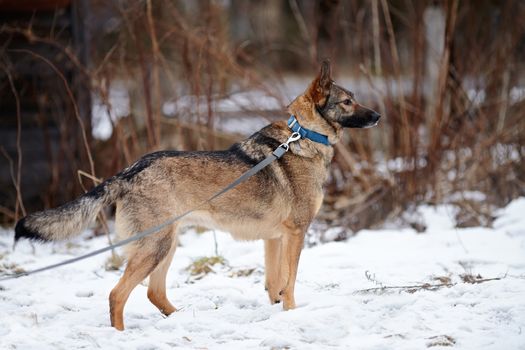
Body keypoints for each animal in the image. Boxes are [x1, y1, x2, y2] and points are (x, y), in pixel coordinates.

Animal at [14, 60, 378, 330]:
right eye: (347, 102)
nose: (378, 116)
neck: (303, 137)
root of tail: (131, 170)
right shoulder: (295, 234)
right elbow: (289, 283)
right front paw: (291, 314)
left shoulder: (274, 239)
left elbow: (274, 284)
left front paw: (277, 314)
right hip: (156, 247)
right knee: (117, 294)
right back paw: (121, 335)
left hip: (166, 245)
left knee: (154, 294)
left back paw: (182, 321)